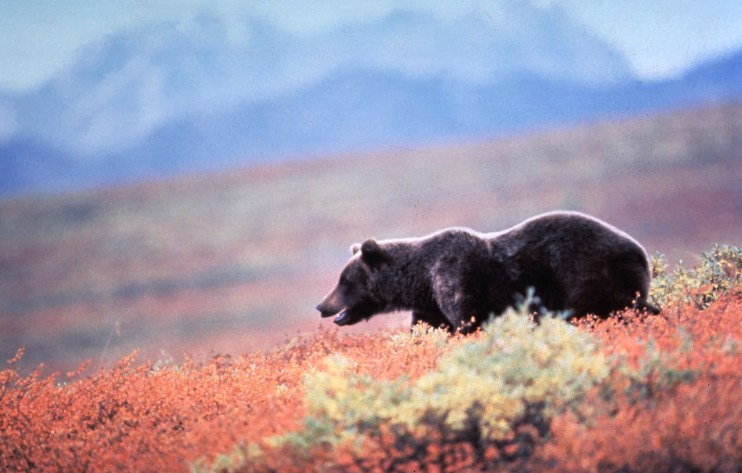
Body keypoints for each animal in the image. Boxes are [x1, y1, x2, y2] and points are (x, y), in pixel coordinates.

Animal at [316, 211, 660, 333]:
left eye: (344, 281)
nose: (322, 306)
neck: (420, 279)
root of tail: (641, 251)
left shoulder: (454, 277)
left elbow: (466, 320)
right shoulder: (430, 302)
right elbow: (427, 328)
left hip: (585, 274)